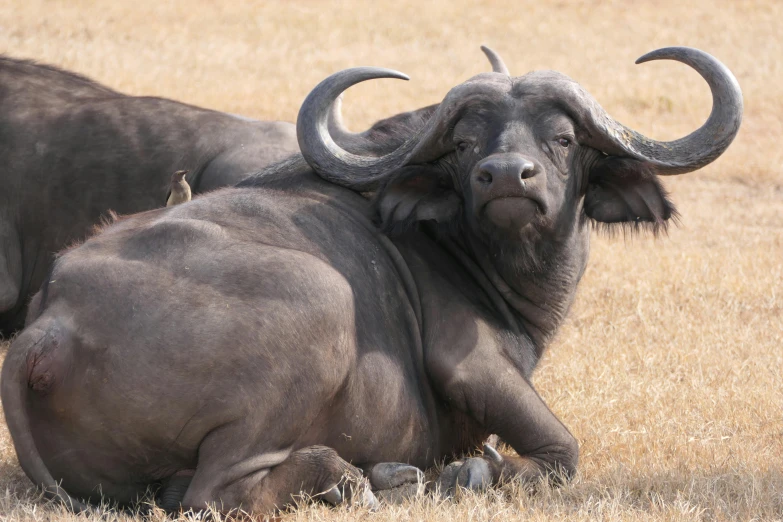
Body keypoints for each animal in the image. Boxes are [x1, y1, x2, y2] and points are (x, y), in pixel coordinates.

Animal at [0, 47, 744, 512]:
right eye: (465, 142)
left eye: (562, 138)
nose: (505, 176)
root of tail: (54, 322)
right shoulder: (472, 364)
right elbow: (561, 450)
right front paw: (477, 470)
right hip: (321, 300)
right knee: (214, 492)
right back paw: (349, 479)